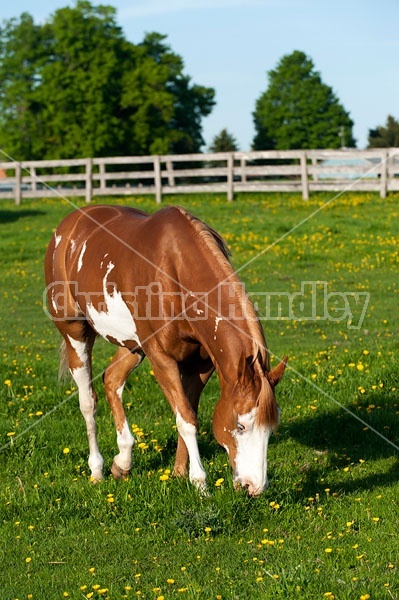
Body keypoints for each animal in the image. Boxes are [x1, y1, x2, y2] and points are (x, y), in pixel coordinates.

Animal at [44, 204, 288, 494]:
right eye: (241, 426)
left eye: (271, 429)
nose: (255, 487)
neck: (176, 272)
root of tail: (69, 225)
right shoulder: (162, 359)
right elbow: (186, 420)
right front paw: (200, 483)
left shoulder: (201, 364)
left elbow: (189, 413)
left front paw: (180, 473)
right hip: (75, 333)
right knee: (88, 402)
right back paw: (97, 469)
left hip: (133, 345)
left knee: (112, 380)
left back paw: (123, 461)